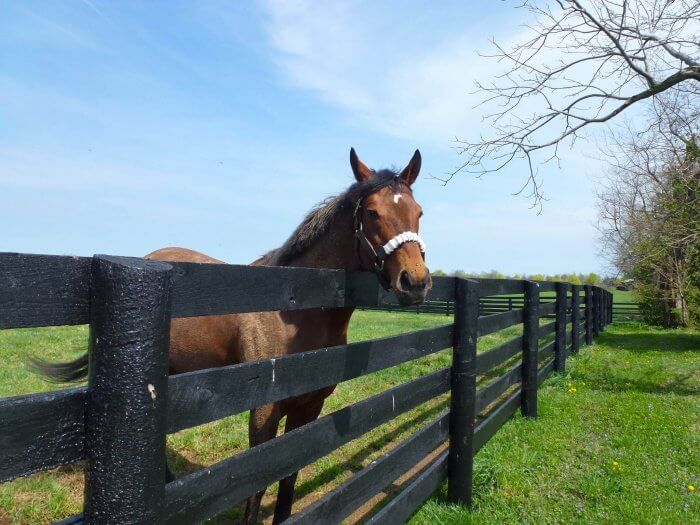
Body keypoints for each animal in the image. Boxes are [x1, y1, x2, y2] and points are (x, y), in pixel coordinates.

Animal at [35, 148, 430, 524]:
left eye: (419, 212)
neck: (295, 310)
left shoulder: (309, 406)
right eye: (373, 213)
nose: (415, 281)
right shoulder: (264, 411)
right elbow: (257, 485)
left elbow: (289, 477)